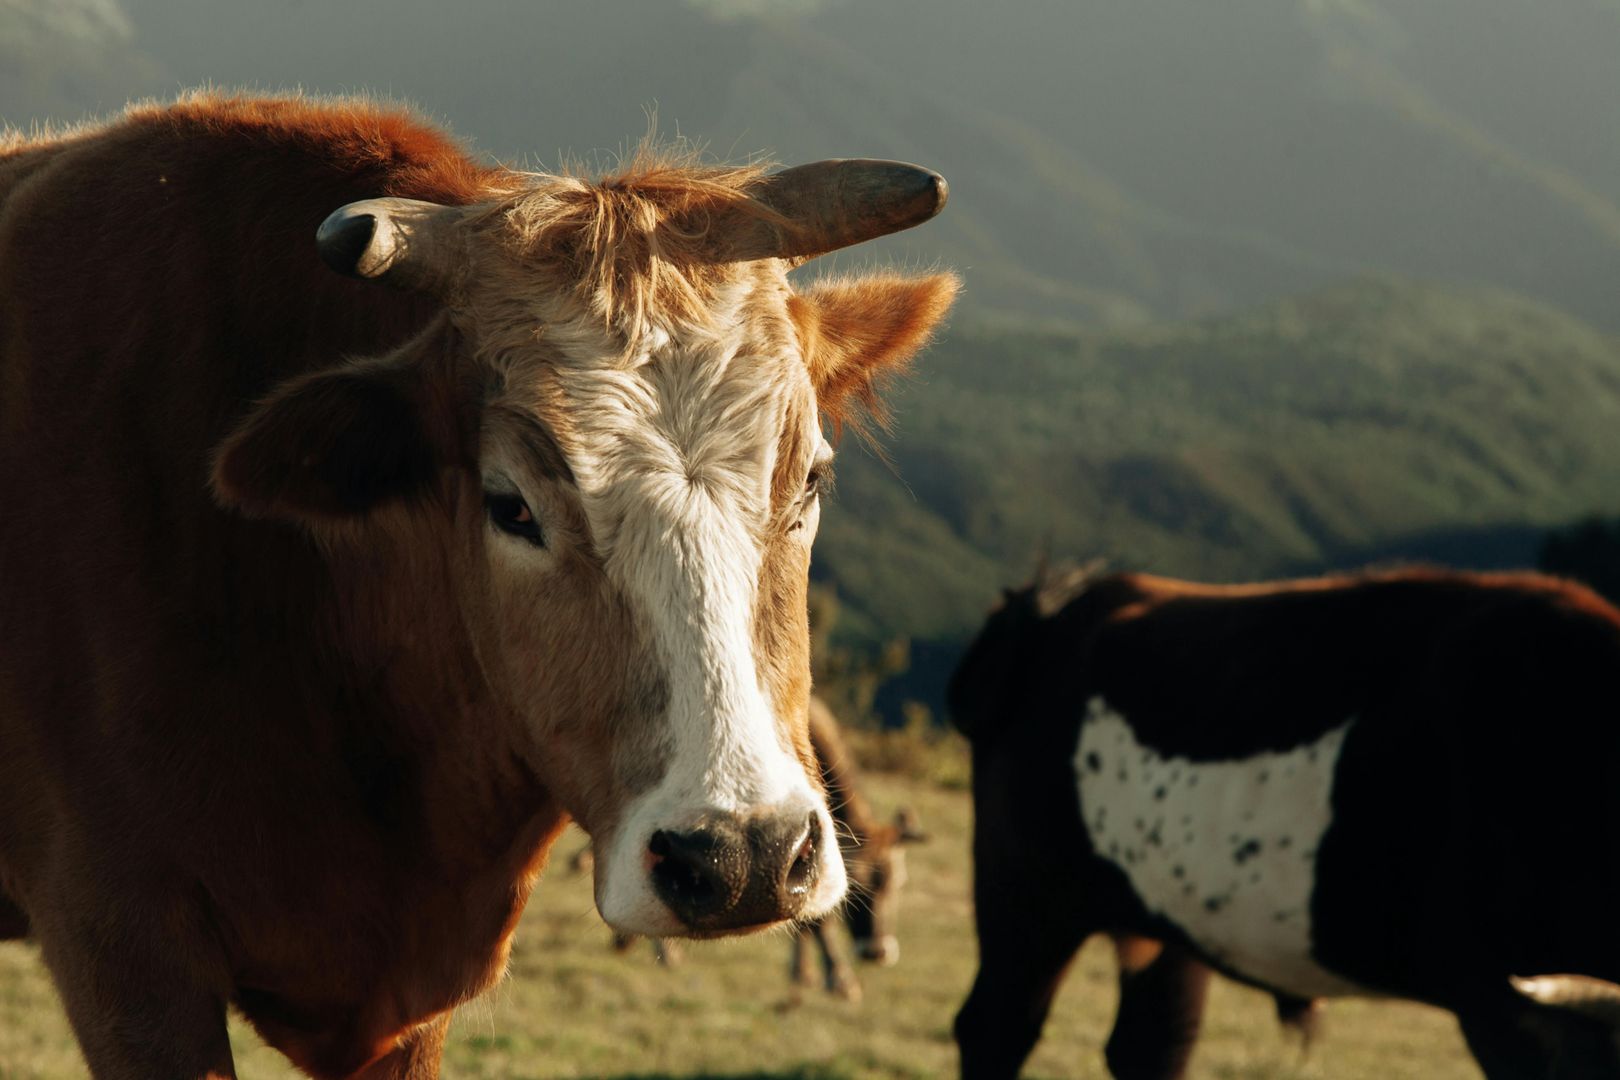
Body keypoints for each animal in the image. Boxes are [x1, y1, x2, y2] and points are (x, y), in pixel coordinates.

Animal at [946, 566, 1620, 1080]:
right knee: (996, 1029)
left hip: (1168, 915)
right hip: (1027, 892)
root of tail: (1058, 602)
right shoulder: (1499, 1003)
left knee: (1153, 1044)